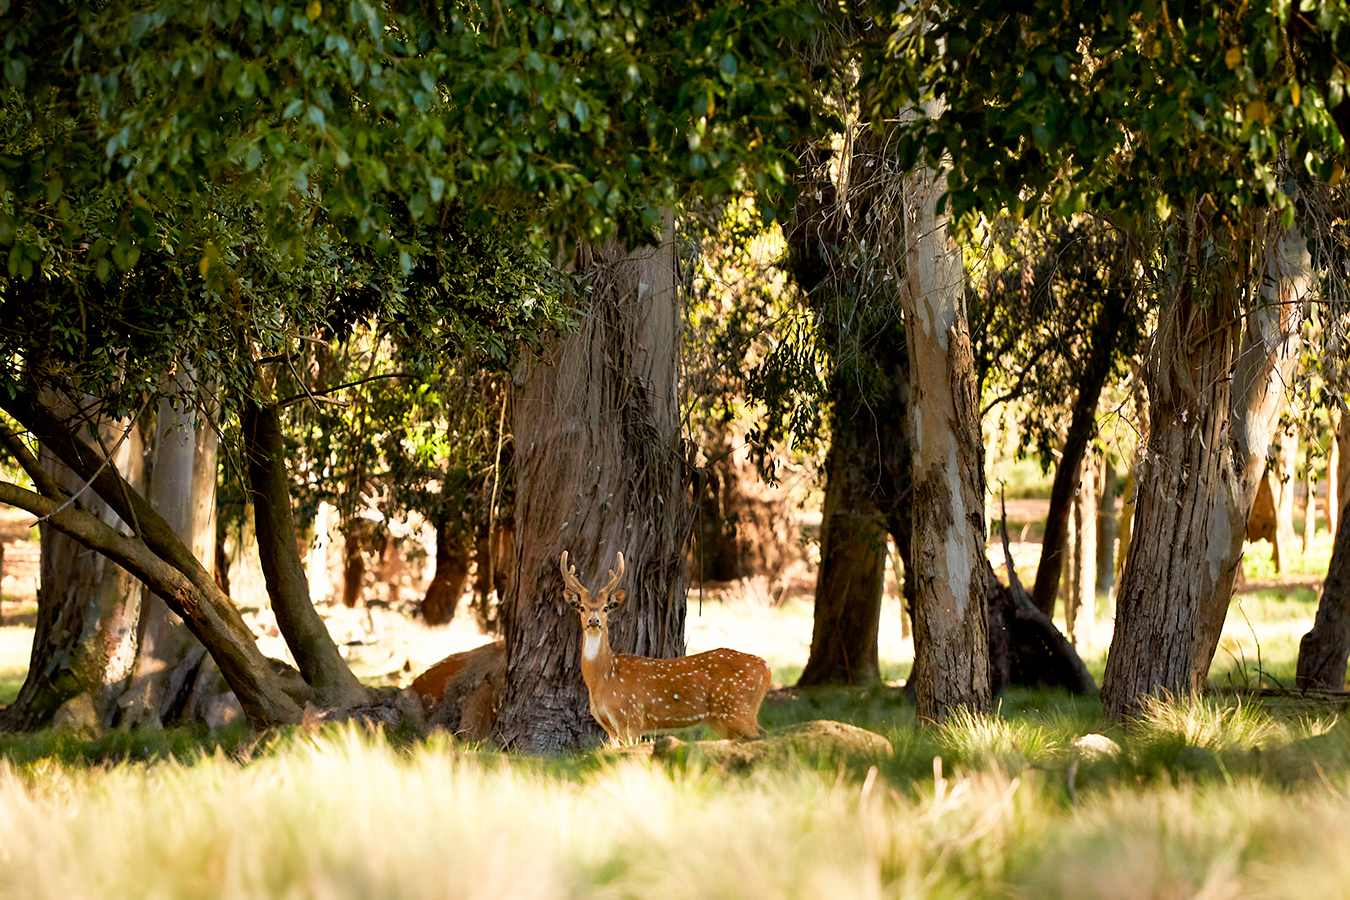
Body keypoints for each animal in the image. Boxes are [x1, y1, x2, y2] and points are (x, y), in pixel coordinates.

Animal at [558, 550, 772, 744]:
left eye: (605, 608)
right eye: (582, 608)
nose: (594, 621)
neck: (606, 677)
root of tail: (767, 668)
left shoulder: (631, 717)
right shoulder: (611, 728)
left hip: (739, 710)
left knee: (762, 735)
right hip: (723, 719)